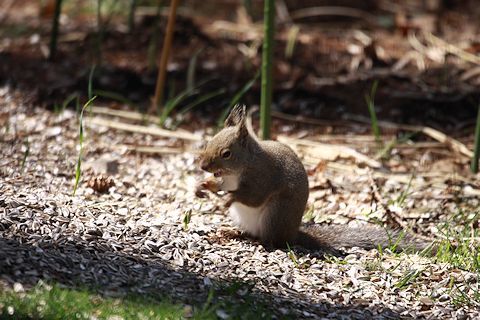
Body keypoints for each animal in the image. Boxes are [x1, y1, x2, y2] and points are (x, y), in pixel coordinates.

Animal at [197, 105, 430, 252]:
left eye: (226, 153)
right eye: (209, 142)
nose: (203, 166)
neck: (239, 169)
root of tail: (292, 233)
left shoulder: (262, 178)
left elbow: (252, 197)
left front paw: (228, 198)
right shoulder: (228, 180)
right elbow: (219, 185)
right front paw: (203, 185)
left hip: (276, 215)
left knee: (272, 240)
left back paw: (260, 242)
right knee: (251, 233)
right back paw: (232, 232)